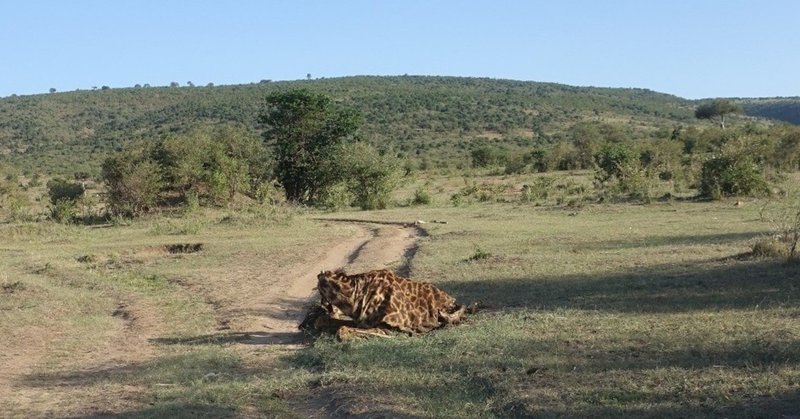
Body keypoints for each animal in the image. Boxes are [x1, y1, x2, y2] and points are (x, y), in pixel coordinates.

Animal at [302, 270, 476, 342]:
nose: (301, 325)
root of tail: (452, 299)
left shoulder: (388, 326)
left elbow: (342, 331)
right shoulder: (362, 321)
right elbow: (326, 322)